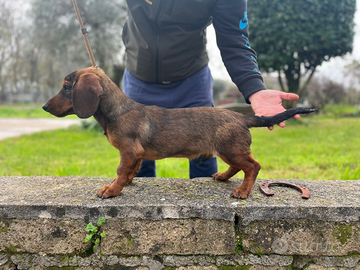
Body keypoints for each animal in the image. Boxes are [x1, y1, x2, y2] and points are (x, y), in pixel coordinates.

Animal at [42, 66, 316, 199]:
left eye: (66, 88)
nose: (44, 107)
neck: (116, 111)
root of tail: (241, 116)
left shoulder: (129, 151)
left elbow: (120, 171)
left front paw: (111, 190)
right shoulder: (136, 155)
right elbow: (130, 171)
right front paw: (124, 184)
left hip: (231, 149)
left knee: (253, 166)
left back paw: (243, 191)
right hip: (228, 151)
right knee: (238, 167)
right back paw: (223, 177)